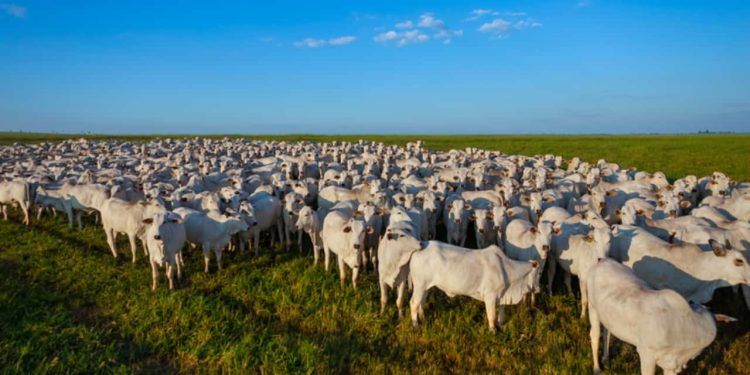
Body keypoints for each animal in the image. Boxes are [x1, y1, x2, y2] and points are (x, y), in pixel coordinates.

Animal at [412, 241, 540, 332]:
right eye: (539, 274)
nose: (539, 289)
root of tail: (422, 245)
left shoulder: (502, 295)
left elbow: (501, 313)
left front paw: (500, 325)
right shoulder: (490, 296)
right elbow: (491, 316)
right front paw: (493, 332)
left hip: (426, 287)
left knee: (421, 302)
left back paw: (422, 318)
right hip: (419, 285)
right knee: (414, 303)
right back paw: (416, 326)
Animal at [588, 260, 736, 375]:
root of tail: (603, 260)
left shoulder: (672, 364)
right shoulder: (646, 354)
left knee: (607, 333)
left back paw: (606, 359)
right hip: (592, 307)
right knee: (595, 335)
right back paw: (597, 368)